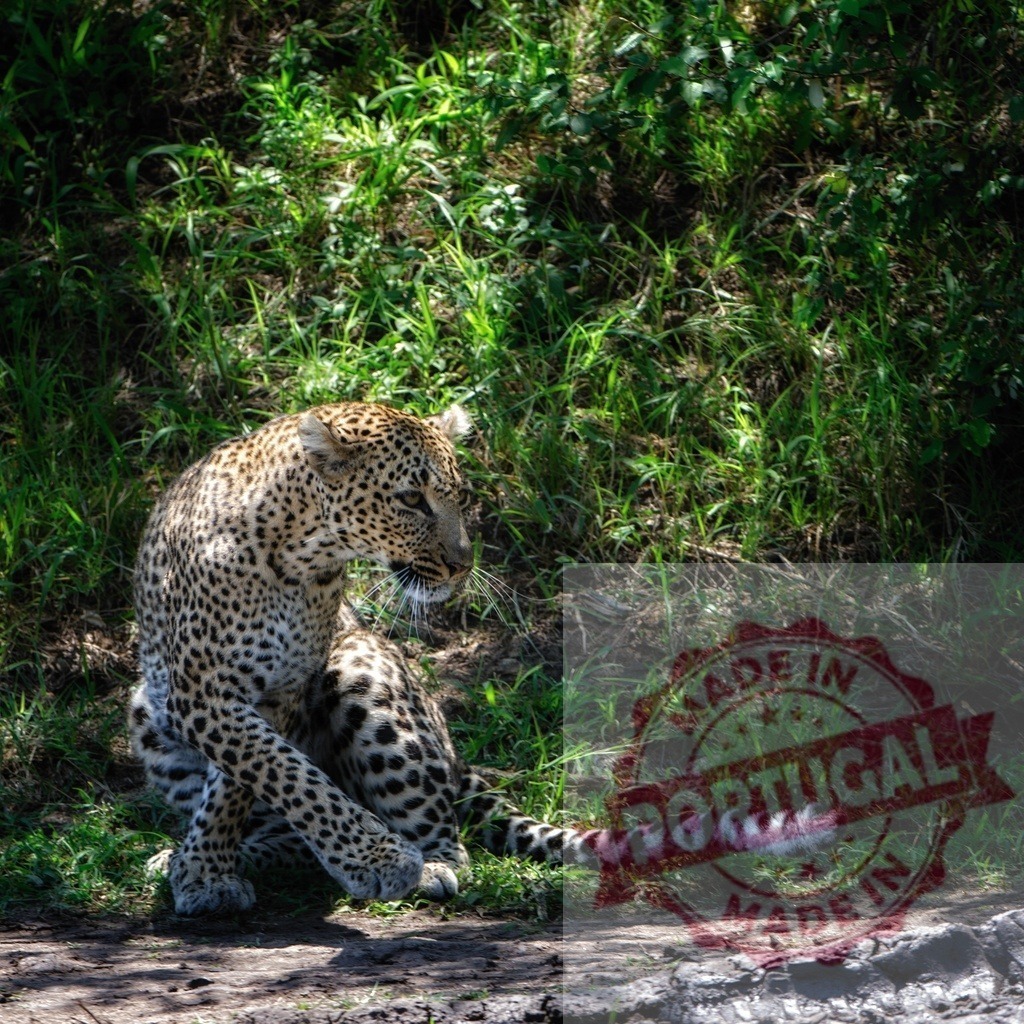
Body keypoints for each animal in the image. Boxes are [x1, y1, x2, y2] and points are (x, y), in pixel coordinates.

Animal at [129, 401, 581, 916]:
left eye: (461, 496)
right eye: (411, 499)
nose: (462, 565)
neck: (299, 558)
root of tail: (455, 755)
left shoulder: (279, 691)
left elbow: (249, 785)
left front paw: (209, 872)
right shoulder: (204, 693)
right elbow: (282, 775)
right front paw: (206, 871)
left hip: (360, 666)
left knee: (449, 842)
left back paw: (432, 865)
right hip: (147, 714)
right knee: (293, 841)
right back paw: (180, 858)